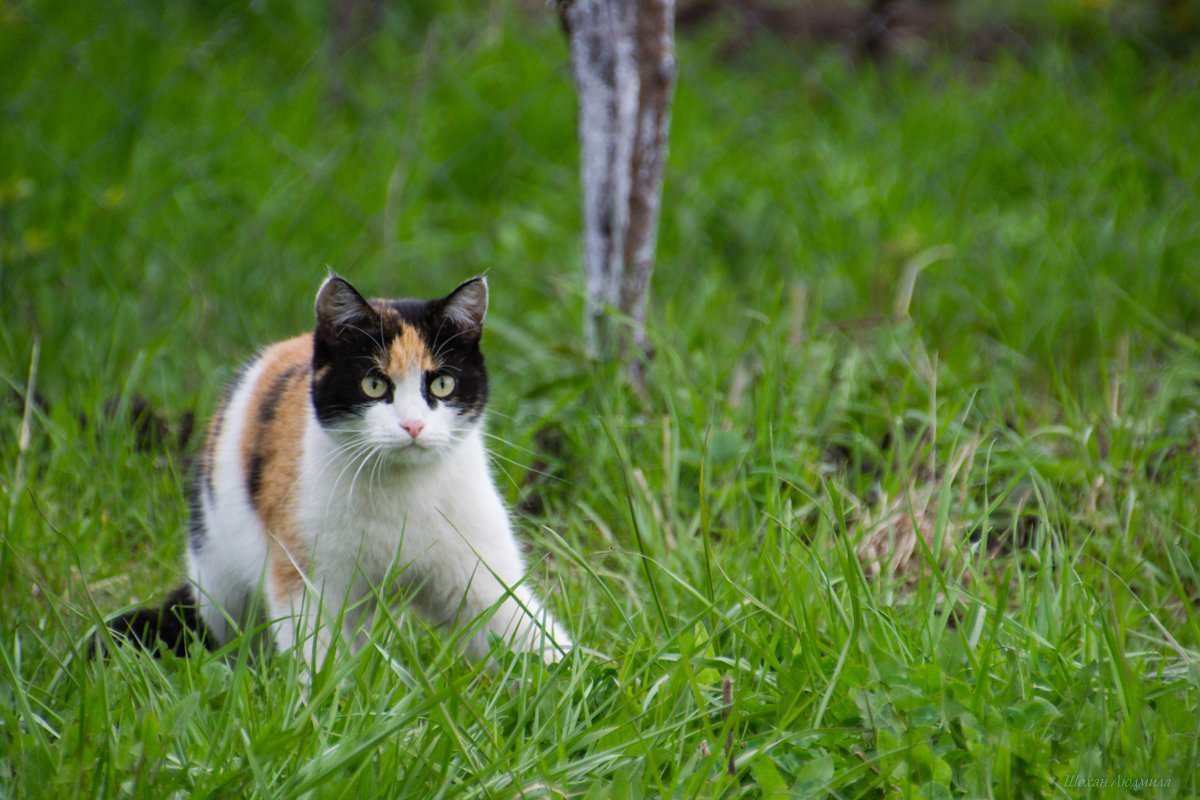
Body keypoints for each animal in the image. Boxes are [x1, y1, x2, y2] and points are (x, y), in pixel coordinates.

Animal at [103, 278, 571, 666]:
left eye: (442, 384)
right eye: (374, 385)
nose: (413, 426)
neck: (403, 494)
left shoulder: (480, 573)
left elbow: (524, 630)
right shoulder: (306, 578)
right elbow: (316, 655)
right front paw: (328, 711)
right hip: (220, 575)